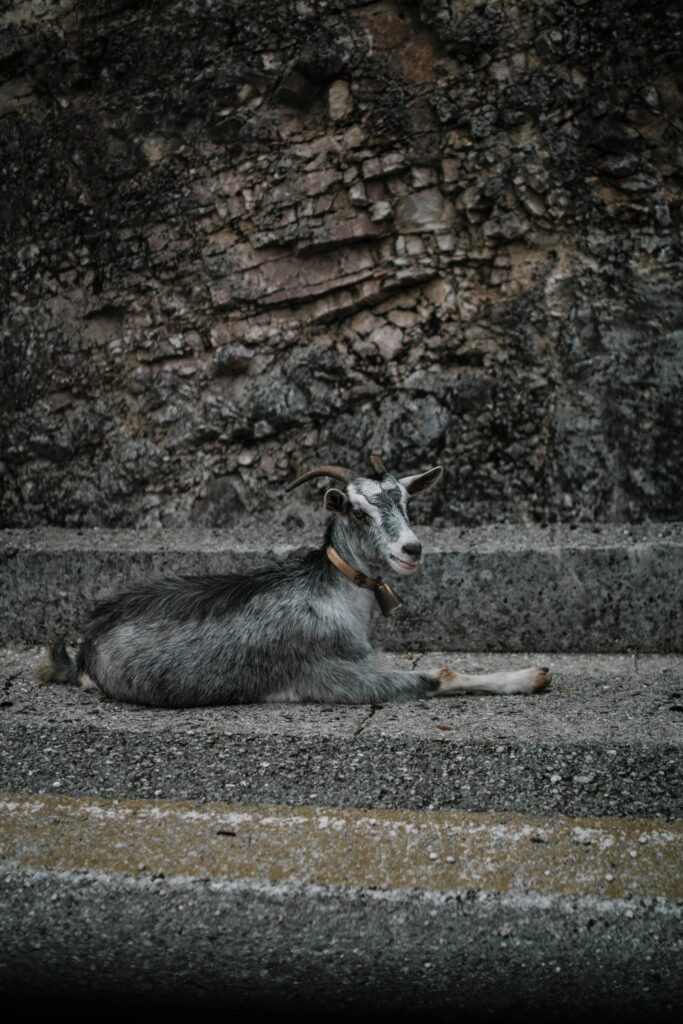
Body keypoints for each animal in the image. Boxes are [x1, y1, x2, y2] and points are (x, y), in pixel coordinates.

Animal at [37, 456, 552, 704]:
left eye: (406, 501)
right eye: (357, 510)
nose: (412, 549)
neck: (335, 594)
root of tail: (85, 646)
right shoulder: (331, 675)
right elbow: (438, 675)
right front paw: (532, 676)